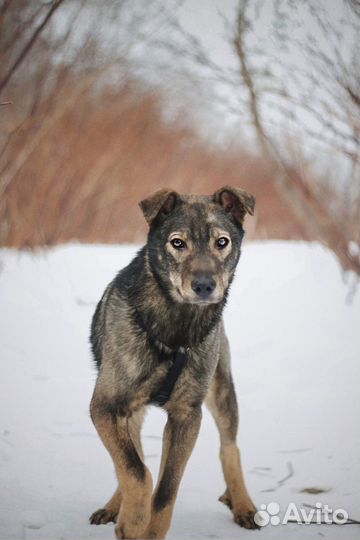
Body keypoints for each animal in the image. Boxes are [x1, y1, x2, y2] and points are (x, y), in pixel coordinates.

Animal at [89, 185, 258, 536]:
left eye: (222, 242)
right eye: (177, 243)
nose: (205, 286)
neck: (177, 326)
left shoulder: (186, 415)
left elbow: (166, 489)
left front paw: (148, 528)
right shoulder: (105, 407)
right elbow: (135, 471)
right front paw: (133, 519)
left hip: (221, 390)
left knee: (229, 447)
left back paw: (242, 503)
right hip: (128, 412)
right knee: (131, 458)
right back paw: (115, 506)